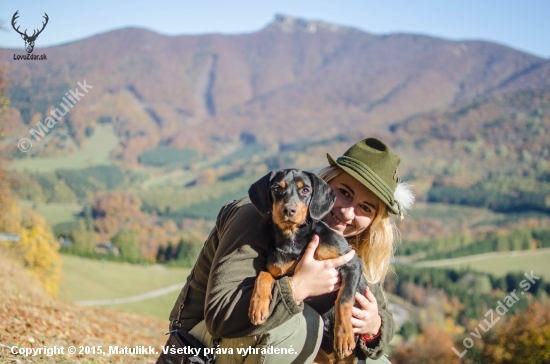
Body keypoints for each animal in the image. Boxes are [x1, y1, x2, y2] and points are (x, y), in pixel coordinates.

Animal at [248, 169, 368, 360]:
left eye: (305, 190)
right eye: (276, 188)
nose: (289, 210)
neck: (294, 241)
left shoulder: (352, 263)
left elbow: (344, 299)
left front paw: (344, 337)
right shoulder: (278, 269)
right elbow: (262, 275)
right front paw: (258, 306)